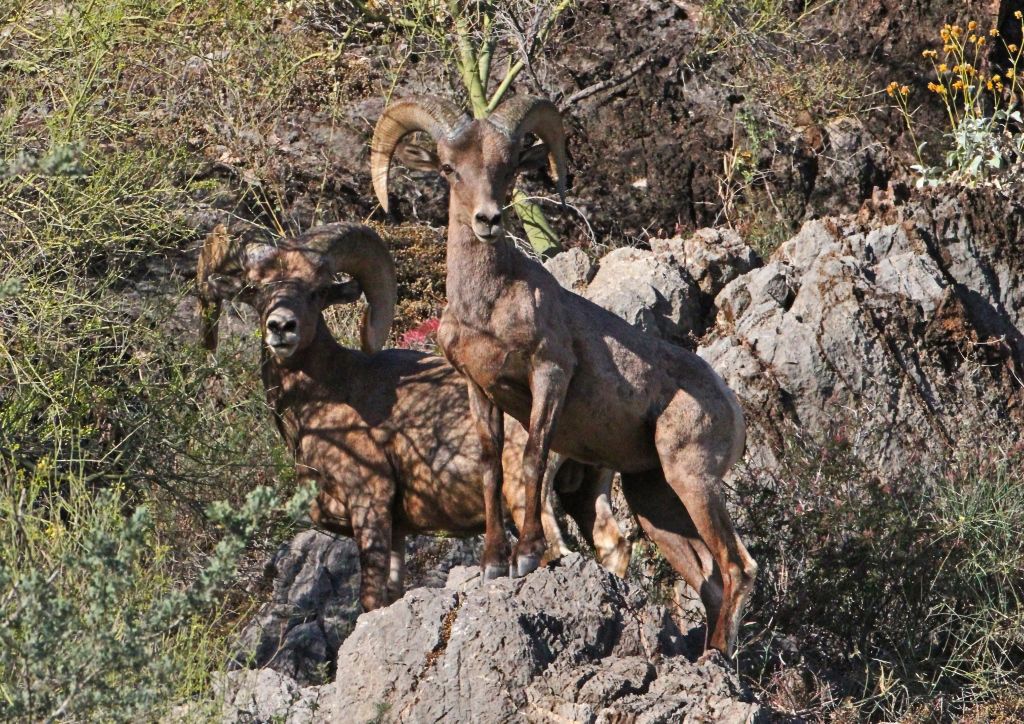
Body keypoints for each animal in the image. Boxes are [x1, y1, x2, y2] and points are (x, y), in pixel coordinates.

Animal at [191, 221, 622, 610]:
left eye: (316, 292)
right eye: (255, 290)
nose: (281, 327)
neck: (328, 393)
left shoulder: (370, 503)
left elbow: (370, 600)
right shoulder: (396, 529)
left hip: (527, 496)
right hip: (585, 494)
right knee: (613, 545)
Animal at [372, 93, 757, 655]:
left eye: (508, 166)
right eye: (449, 169)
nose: (488, 220)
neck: (488, 307)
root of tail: (729, 402)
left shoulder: (549, 376)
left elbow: (532, 460)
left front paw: (529, 556)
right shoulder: (479, 389)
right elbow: (491, 468)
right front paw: (493, 565)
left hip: (693, 480)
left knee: (737, 568)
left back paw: (715, 657)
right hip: (653, 499)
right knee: (707, 578)